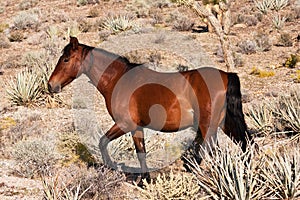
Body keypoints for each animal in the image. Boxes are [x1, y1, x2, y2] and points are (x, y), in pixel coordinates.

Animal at [48, 36, 251, 180]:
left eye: (66, 59)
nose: (51, 85)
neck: (120, 80)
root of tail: (226, 75)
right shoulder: (137, 128)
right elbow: (141, 153)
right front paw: (144, 179)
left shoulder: (125, 124)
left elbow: (102, 142)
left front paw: (109, 169)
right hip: (225, 124)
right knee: (244, 144)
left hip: (208, 126)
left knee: (210, 150)